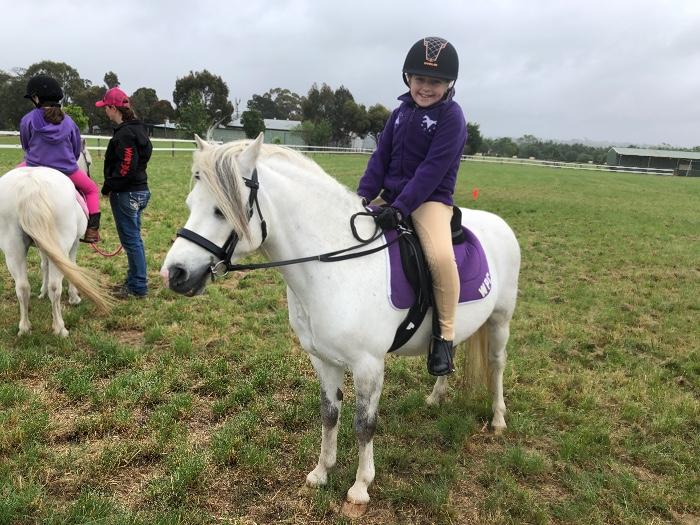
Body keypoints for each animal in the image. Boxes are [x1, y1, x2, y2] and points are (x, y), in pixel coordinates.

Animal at [0, 155, 110, 337]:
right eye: (88, 162)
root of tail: (31, 186)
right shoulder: (72, 245)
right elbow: (71, 268)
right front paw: (74, 298)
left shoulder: (44, 245)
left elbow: (44, 265)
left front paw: (42, 292)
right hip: (60, 244)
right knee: (55, 287)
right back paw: (60, 328)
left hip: (13, 249)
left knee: (22, 287)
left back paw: (24, 328)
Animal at [160, 134, 521, 512]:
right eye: (190, 203)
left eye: (220, 210)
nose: (174, 274)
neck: (335, 264)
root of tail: (499, 223)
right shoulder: (323, 359)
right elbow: (329, 413)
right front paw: (321, 473)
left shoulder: (368, 365)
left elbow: (364, 425)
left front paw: (360, 488)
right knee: (450, 353)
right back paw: (436, 398)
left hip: (500, 321)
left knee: (497, 364)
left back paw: (497, 419)